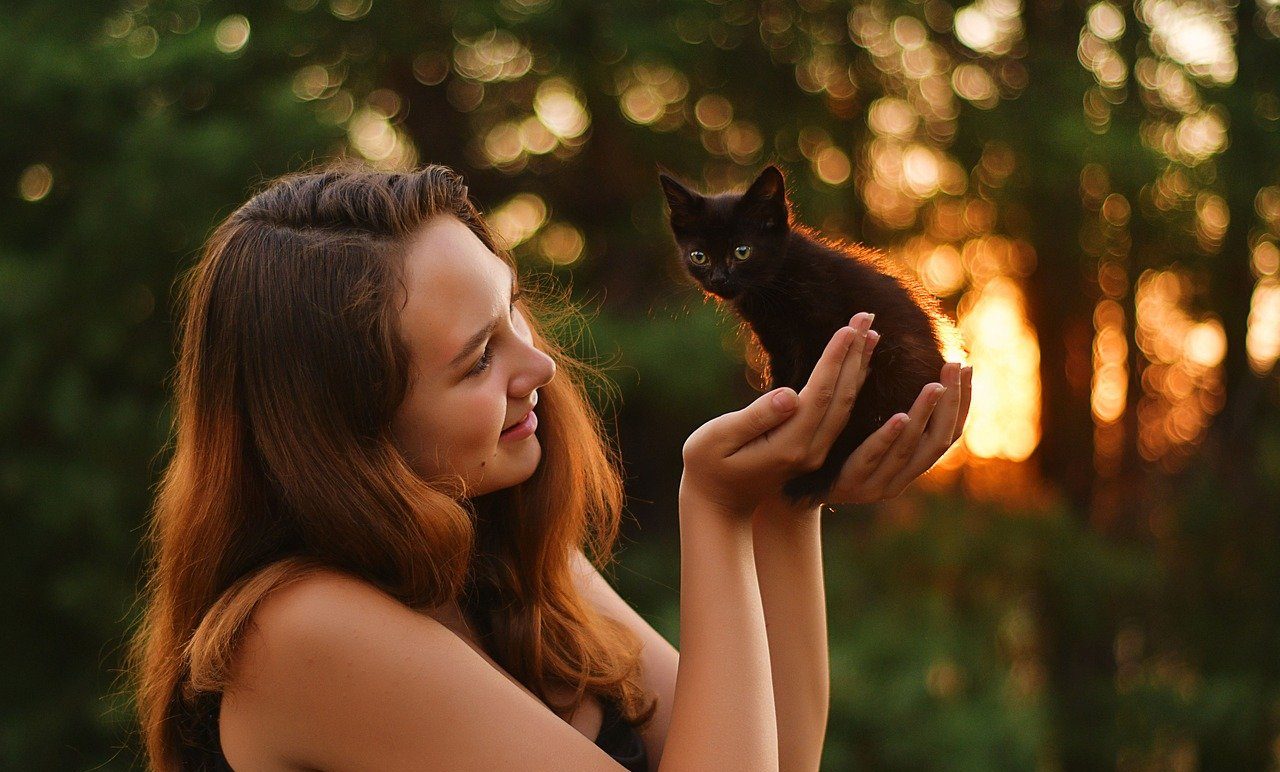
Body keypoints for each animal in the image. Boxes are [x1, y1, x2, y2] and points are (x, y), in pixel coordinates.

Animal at [665, 165, 957, 506]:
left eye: (742, 251)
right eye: (699, 256)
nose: (719, 279)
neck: (779, 278)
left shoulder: (821, 328)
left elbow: (804, 372)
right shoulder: (776, 341)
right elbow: (784, 375)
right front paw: (775, 399)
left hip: (893, 364)